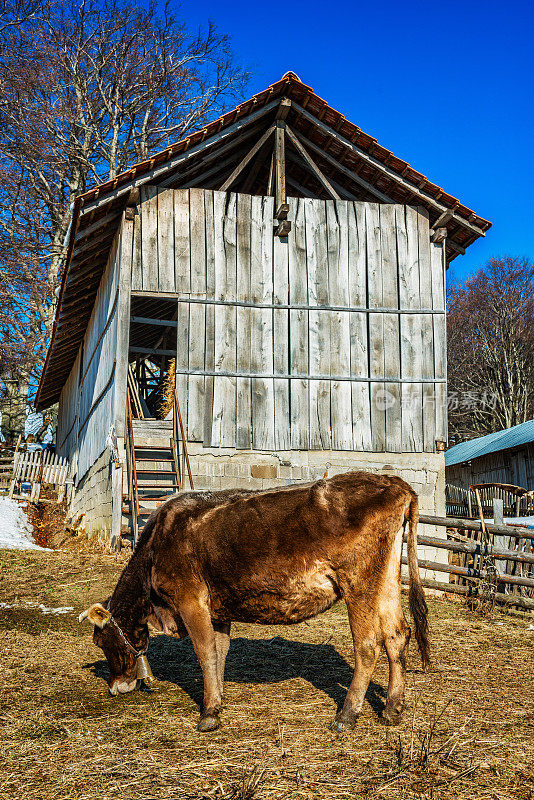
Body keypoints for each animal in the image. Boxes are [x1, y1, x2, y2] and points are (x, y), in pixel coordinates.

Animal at [80, 472, 432, 736]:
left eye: (100, 641)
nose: (114, 688)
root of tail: (392, 481)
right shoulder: (218, 608)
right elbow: (220, 652)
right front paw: (217, 698)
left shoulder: (190, 599)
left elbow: (204, 653)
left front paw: (208, 713)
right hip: (387, 578)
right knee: (397, 635)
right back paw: (392, 708)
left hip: (358, 582)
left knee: (368, 646)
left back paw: (346, 716)